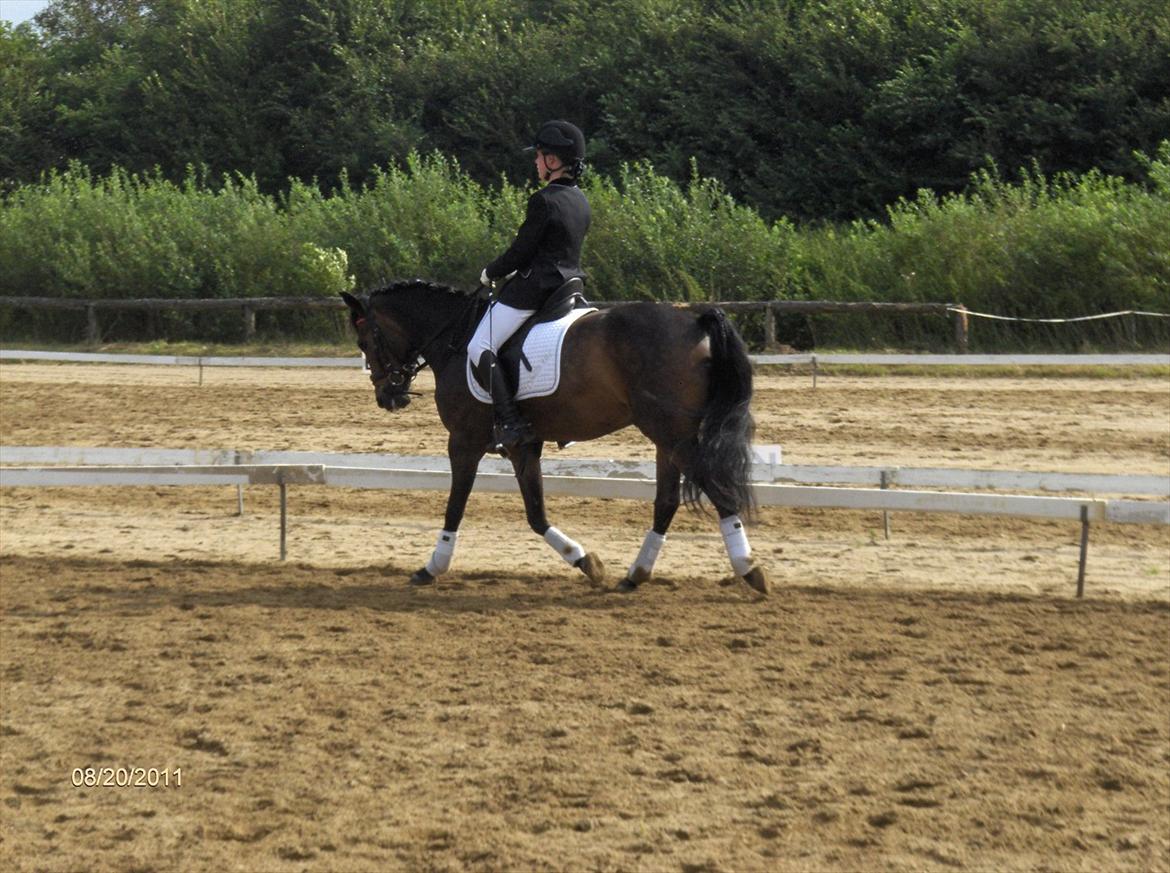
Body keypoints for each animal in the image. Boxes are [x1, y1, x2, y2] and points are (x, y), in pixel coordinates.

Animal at [340, 279, 768, 594]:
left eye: (364, 343)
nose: (388, 397)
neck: (455, 338)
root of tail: (694, 319)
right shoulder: (523, 445)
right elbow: (536, 513)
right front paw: (585, 561)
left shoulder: (463, 441)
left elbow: (454, 507)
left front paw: (431, 567)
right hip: (668, 436)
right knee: (666, 501)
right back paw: (634, 575)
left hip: (669, 432)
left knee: (716, 490)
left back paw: (749, 570)